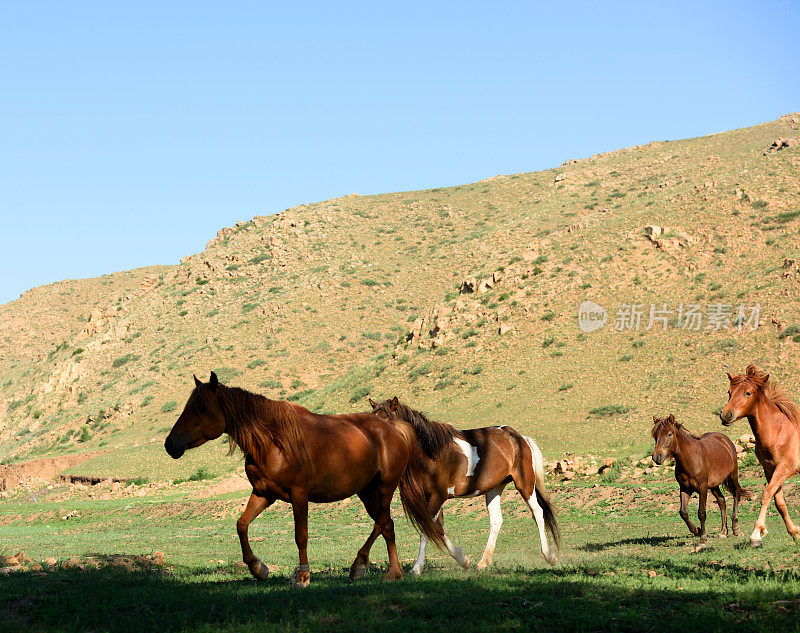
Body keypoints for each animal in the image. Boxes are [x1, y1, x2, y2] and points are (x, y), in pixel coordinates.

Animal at [162, 372, 438, 584]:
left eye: (200, 408)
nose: (170, 444)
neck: (273, 442)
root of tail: (393, 429)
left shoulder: (299, 495)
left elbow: (301, 535)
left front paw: (303, 576)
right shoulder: (264, 494)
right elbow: (241, 525)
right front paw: (258, 568)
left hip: (383, 489)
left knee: (382, 523)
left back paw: (372, 568)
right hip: (367, 492)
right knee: (386, 525)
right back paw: (385, 571)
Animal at [368, 398, 556, 576]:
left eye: (386, 422)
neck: (430, 454)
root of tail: (520, 438)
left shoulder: (437, 497)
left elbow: (426, 531)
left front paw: (417, 568)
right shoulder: (431, 498)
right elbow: (438, 529)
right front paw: (462, 560)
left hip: (525, 484)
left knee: (537, 512)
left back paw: (549, 556)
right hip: (494, 488)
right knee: (496, 520)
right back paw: (483, 562)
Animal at [652, 414, 748, 544]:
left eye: (669, 434)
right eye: (655, 435)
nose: (657, 457)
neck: (691, 458)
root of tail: (725, 440)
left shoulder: (702, 487)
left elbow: (701, 512)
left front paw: (703, 537)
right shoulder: (685, 488)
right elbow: (683, 512)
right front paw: (696, 531)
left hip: (732, 476)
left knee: (736, 494)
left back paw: (736, 528)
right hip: (714, 485)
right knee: (721, 501)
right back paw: (723, 532)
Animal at [720, 366, 800, 548]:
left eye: (748, 393)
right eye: (729, 392)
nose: (726, 414)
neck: (778, 432)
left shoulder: (785, 468)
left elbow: (766, 494)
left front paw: (756, 535)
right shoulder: (770, 470)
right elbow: (779, 502)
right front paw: (795, 533)